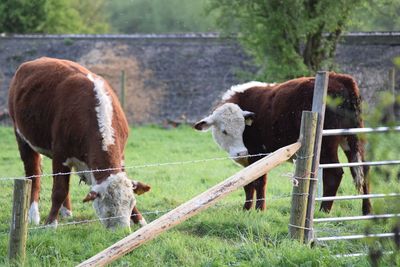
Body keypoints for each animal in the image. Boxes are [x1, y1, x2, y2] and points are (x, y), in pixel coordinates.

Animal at [7, 57, 152, 229]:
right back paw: (33, 215)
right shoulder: (60, 154)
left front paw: (140, 220)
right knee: (34, 175)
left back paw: (67, 212)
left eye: (130, 203)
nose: (122, 231)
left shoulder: (120, 156)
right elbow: (59, 190)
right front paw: (50, 223)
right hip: (22, 138)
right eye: (108, 209)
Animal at [195, 73, 374, 216]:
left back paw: (324, 210)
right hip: (353, 139)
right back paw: (367, 210)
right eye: (224, 130)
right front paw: (246, 209)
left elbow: (259, 181)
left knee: (335, 173)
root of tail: (341, 78)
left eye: (242, 128)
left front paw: (259, 209)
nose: (241, 152)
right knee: (363, 169)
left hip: (326, 147)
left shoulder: (257, 154)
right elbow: (247, 183)